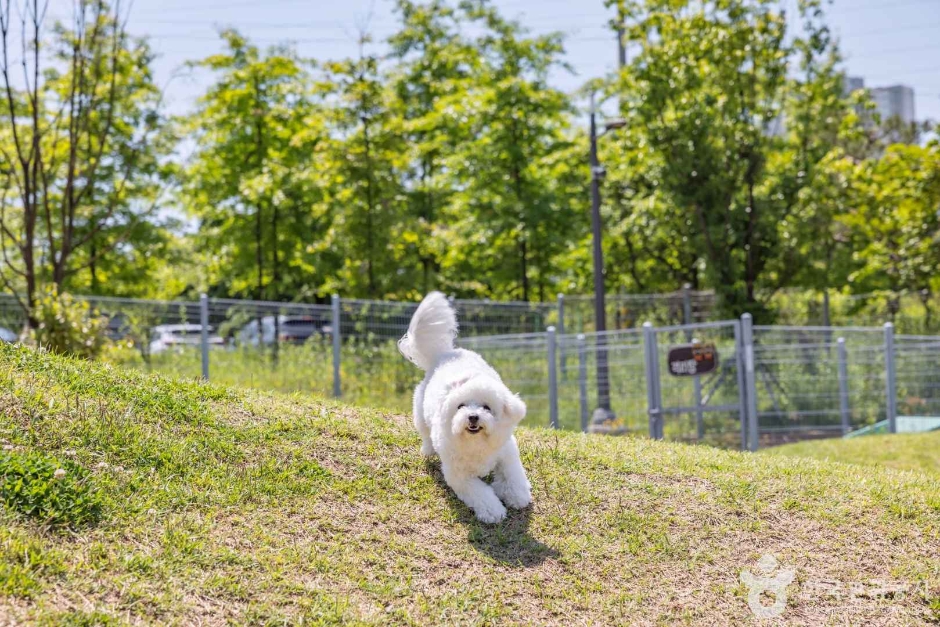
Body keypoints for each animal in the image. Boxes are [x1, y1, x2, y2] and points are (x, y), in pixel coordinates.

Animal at [396, 294, 528, 524]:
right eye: (461, 406)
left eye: (487, 407)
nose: (473, 417)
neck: (476, 443)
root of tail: (444, 353)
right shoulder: (459, 474)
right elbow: (480, 492)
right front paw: (493, 511)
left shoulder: (506, 453)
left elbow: (513, 475)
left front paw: (518, 495)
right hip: (420, 412)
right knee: (425, 433)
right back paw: (428, 449)